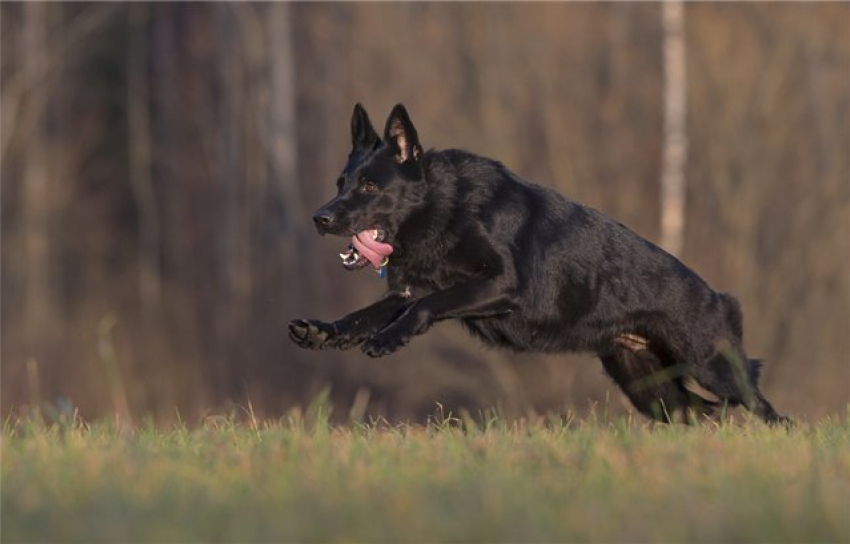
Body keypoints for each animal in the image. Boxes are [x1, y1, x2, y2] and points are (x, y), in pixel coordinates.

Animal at [288, 102, 784, 424]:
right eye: (340, 182)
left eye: (370, 186)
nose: (319, 218)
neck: (439, 208)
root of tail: (721, 297)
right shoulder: (409, 290)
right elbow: (362, 316)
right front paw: (321, 332)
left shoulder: (499, 284)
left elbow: (425, 307)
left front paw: (388, 339)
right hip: (651, 390)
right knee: (704, 416)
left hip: (712, 368)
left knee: (763, 408)